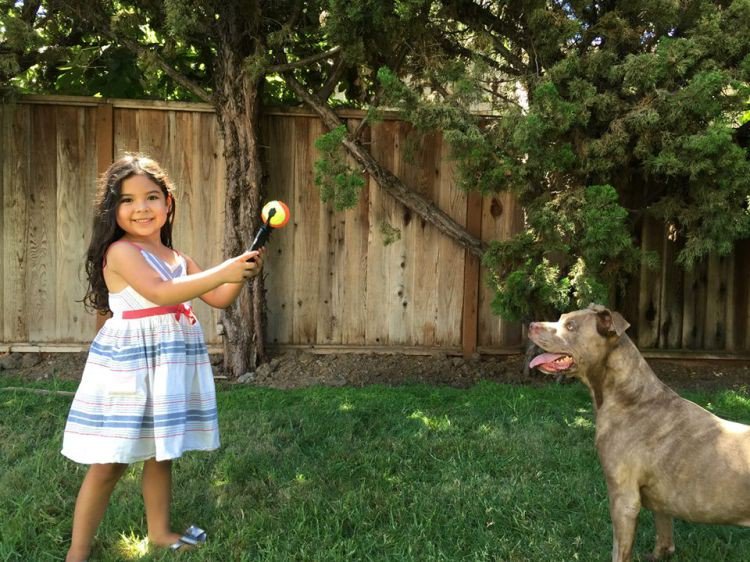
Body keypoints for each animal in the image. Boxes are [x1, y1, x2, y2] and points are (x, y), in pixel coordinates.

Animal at [528, 304, 750, 556]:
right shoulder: (661, 501)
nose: (531, 324)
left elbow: (619, 551)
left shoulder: (624, 500)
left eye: (571, 326)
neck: (631, 398)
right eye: (562, 318)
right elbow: (664, 539)